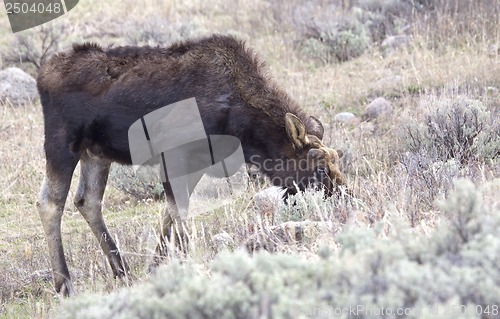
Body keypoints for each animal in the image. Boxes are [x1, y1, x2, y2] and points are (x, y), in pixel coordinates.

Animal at [36, 33, 348, 296]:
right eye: (320, 168)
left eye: (338, 160)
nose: (346, 200)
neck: (241, 125)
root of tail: (43, 73)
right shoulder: (173, 155)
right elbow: (180, 216)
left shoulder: (197, 162)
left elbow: (169, 216)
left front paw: (156, 267)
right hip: (62, 143)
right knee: (50, 203)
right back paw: (64, 284)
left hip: (95, 153)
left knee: (87, 200)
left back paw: (121, 270)